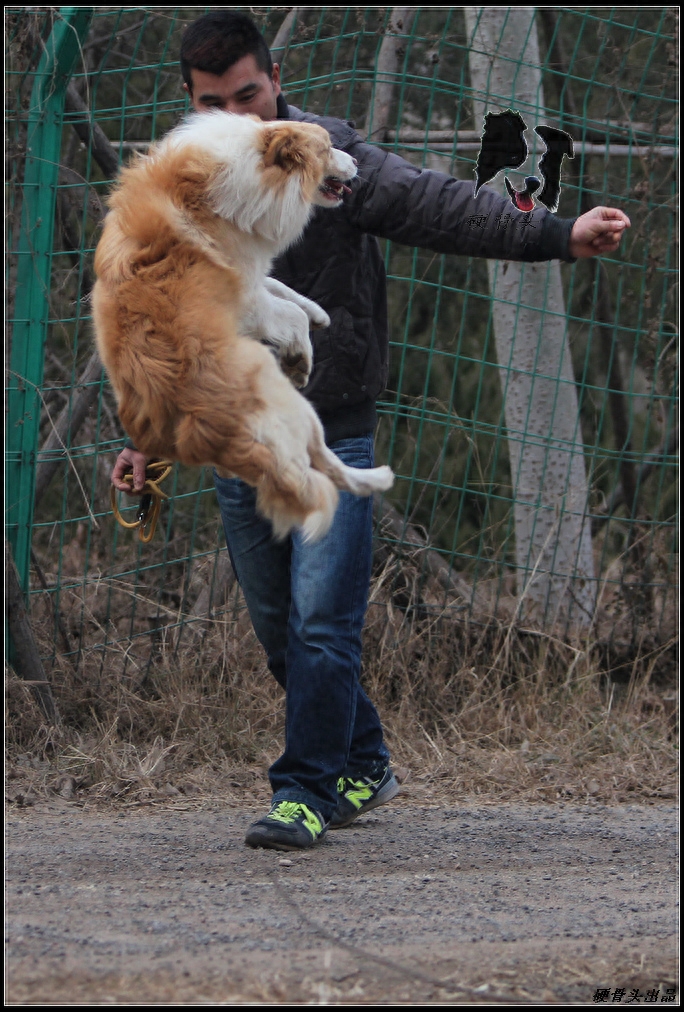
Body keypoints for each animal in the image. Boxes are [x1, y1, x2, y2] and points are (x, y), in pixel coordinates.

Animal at [93, 111, 392, 542]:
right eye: (326, 149)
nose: (356, 162)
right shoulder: (246, 300)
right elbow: (288, 313)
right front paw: (301, 353)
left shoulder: (249, 277)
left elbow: (281, 287)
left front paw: (319, 313)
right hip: (296, 408)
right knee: (326, 464)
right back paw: (378, 477)